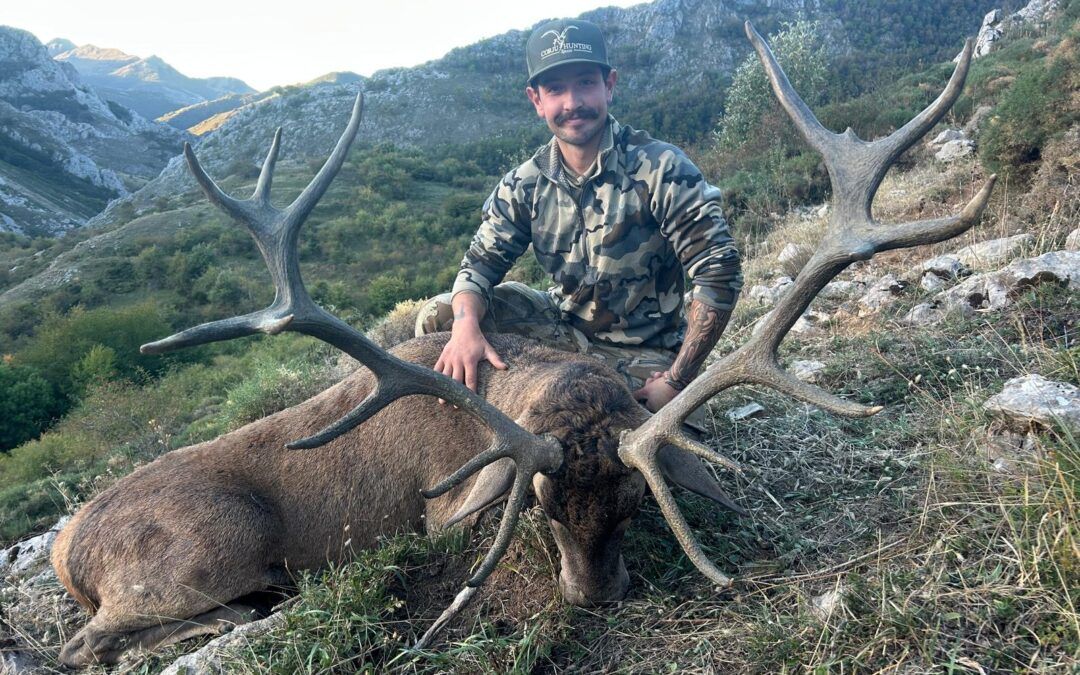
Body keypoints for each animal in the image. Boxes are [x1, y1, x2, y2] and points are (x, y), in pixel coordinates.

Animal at [50, 22, 995, 668]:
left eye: (635, 502)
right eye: (538, 509)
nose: (596, 596)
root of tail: (64, 551)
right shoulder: (438, 512)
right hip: (213, 544)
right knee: (87, 640)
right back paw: (247, 609)